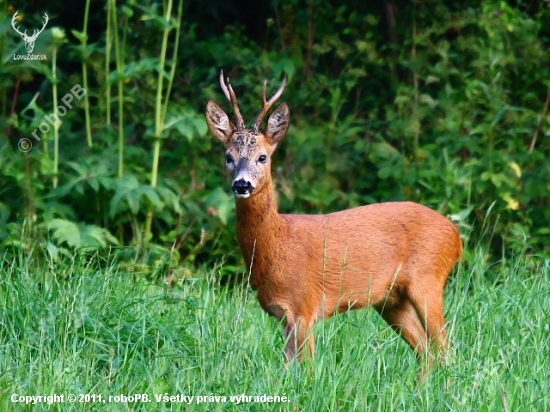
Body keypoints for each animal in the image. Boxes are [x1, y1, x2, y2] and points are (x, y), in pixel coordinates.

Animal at [205, 71, 464, 376]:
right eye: (228, 157)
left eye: (262, 157)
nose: (242, 184)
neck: (278, 241)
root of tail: (455, 236)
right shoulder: (284, 316)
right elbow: (286, 369)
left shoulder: (304, 306)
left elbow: (305, 369)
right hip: (391, 300)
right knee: (426, 352)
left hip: (428, 279)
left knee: (445, 350)